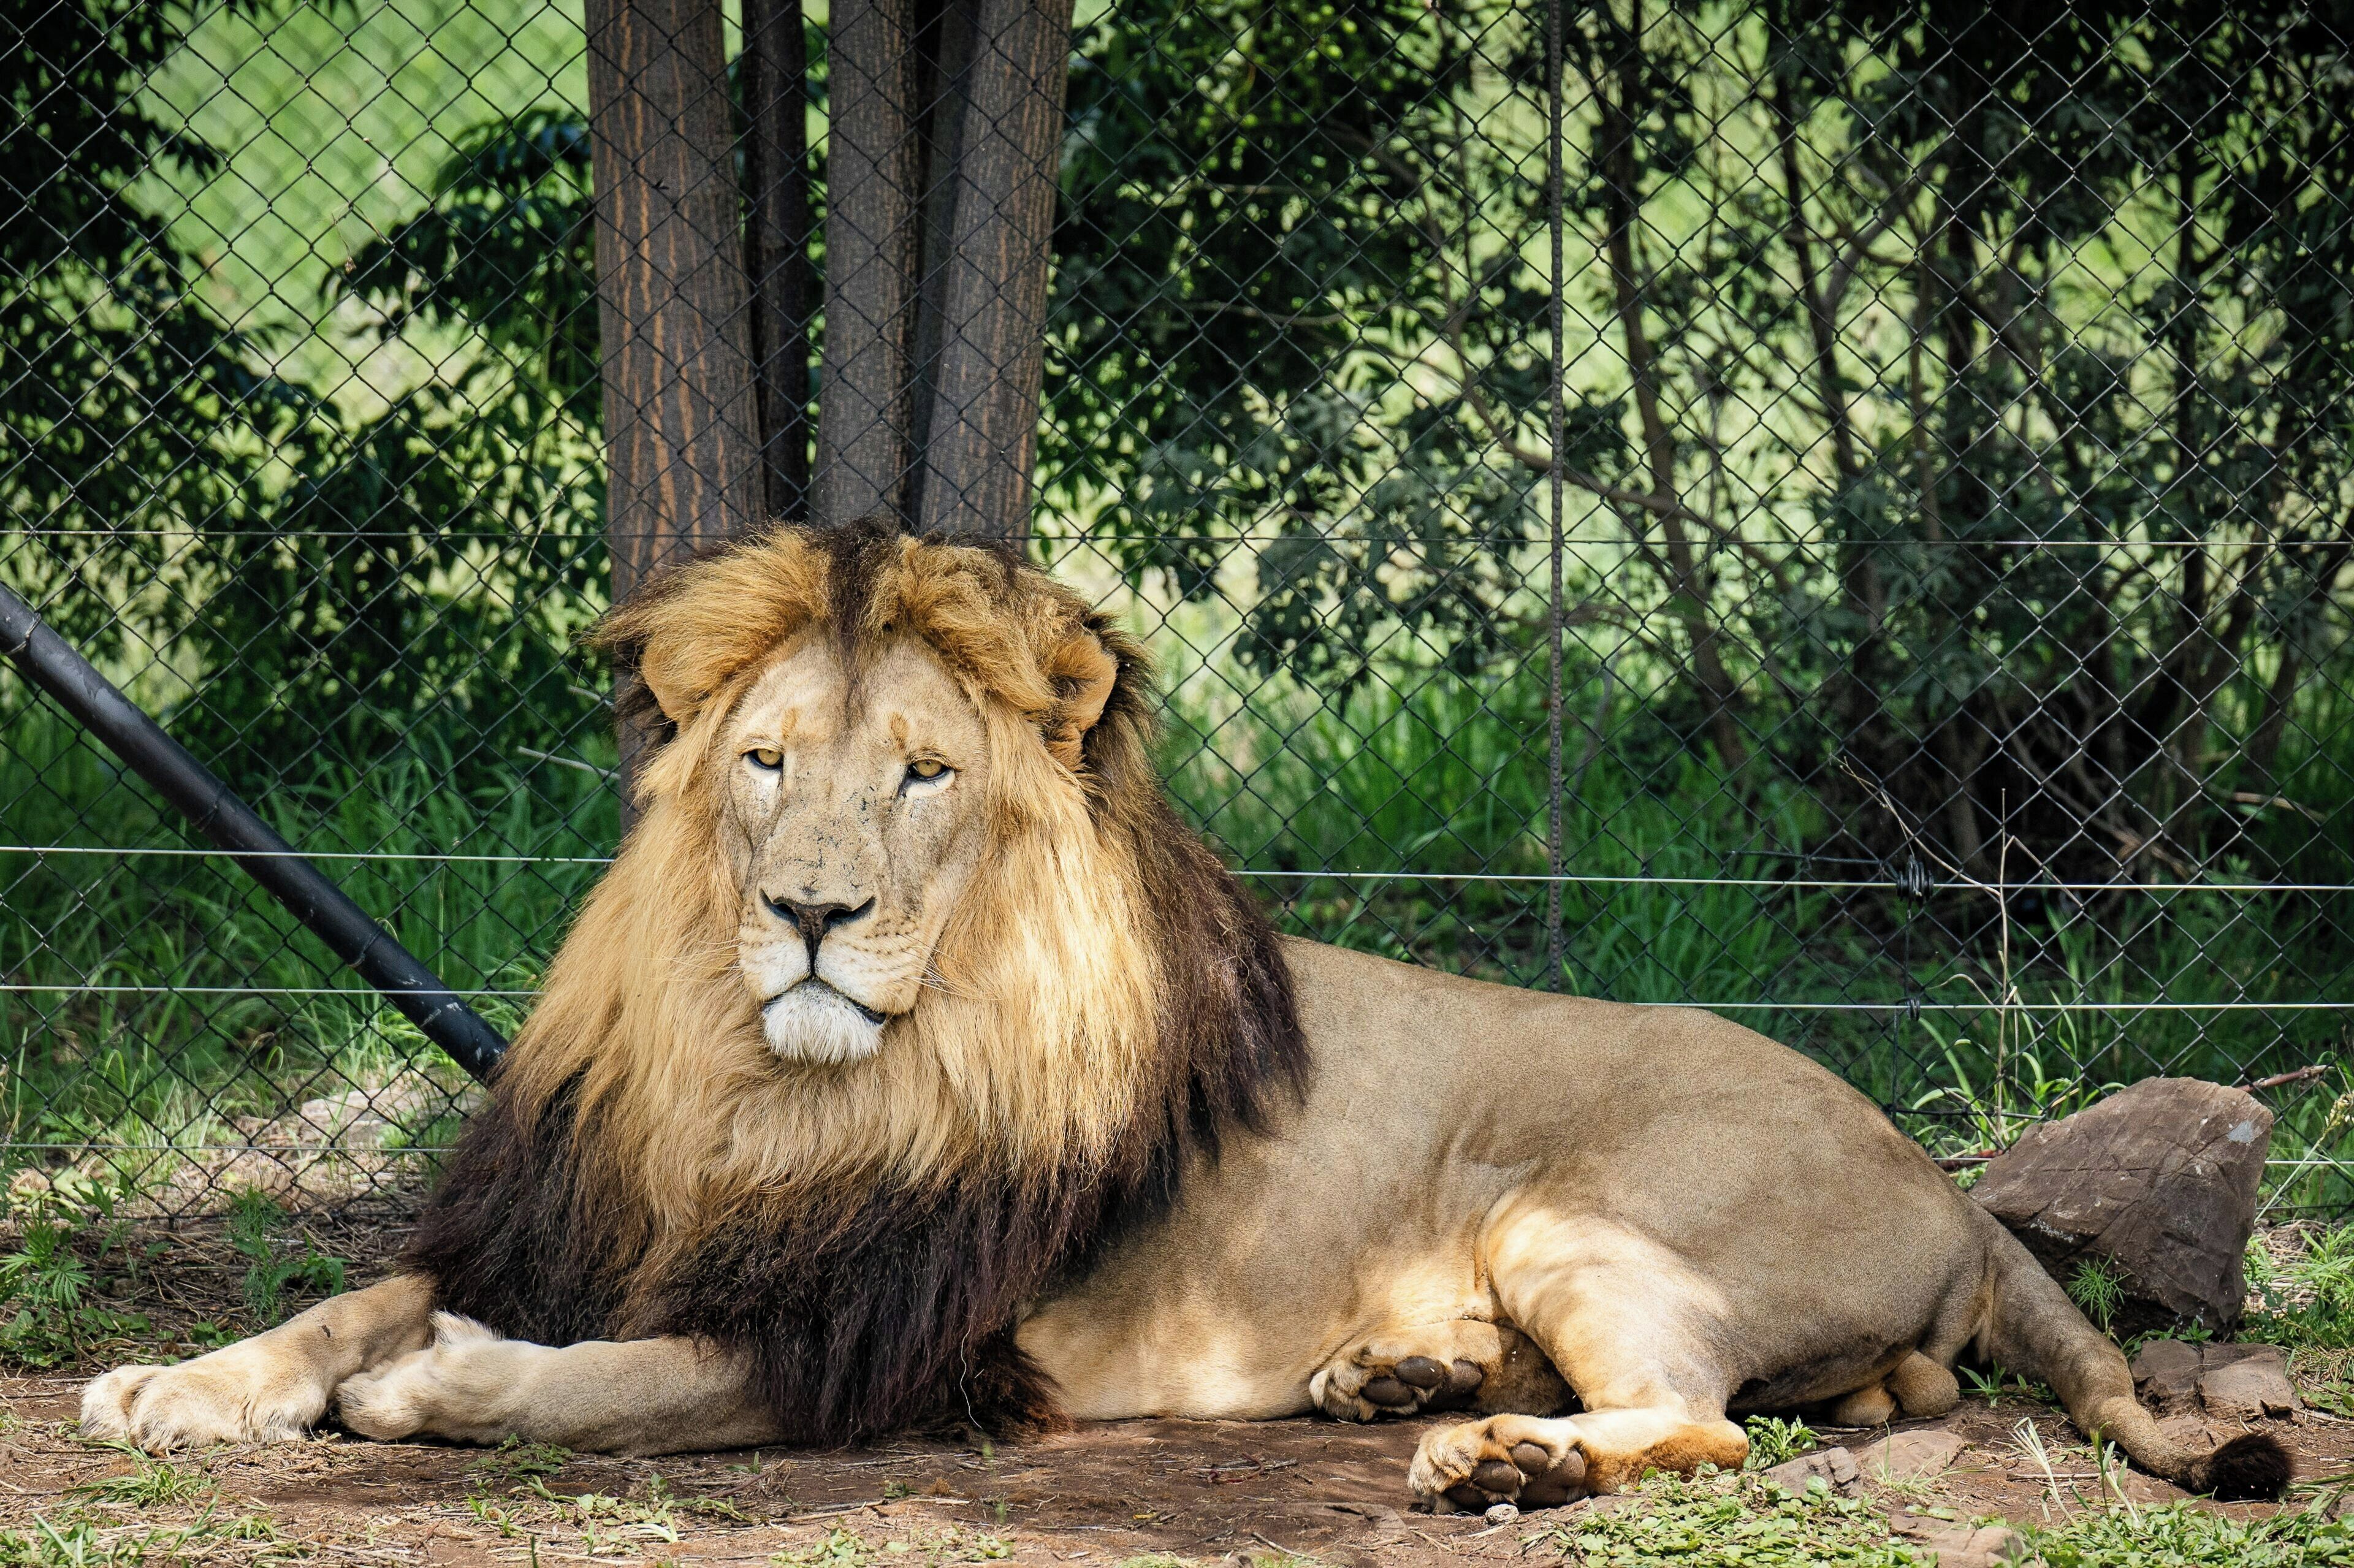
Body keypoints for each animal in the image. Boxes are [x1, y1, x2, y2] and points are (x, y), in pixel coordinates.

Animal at [82, 521, 2289, 1509]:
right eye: (769, 761)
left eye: (923, 778)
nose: (808, 915)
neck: (771, 1090)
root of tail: (1950, 1171)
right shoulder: (582, 1204)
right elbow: (346, 1295)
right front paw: (179, 1380)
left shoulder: (895, 1335)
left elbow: (609, 1379)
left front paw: (439, 1388)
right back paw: (1400, 1377)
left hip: (1589, 1210)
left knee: (1709, 1418)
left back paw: (1499, 1450)